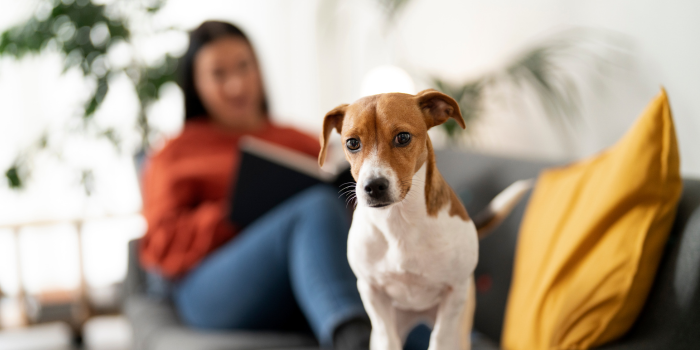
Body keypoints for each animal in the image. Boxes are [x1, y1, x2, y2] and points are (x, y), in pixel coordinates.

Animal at [318, 89, 532, 350]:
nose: (374, 186)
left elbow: (440, 338)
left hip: (461, 326)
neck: (399, 222)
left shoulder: (455, 293)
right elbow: (388, 339)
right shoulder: (371, 291)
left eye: (403, 137)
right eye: (352, 143)